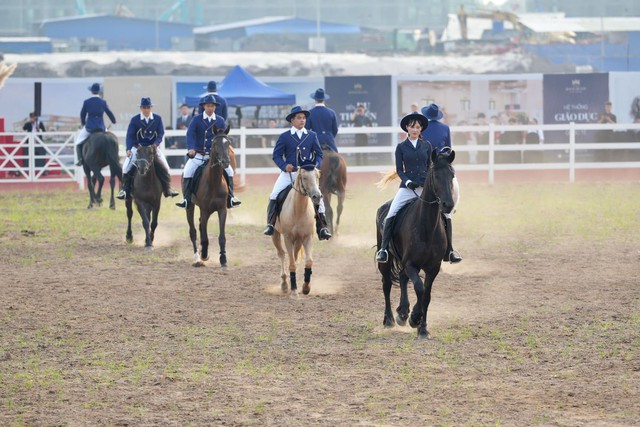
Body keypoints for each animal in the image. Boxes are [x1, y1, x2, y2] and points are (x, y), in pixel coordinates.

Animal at [185, 126, 230, 268]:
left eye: (228, 143)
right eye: (215, 144)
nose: (226, 162)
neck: (214, 182)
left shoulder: (222, 210)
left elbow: (222, 237)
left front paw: (223, 259)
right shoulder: (204, 210)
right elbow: (204, 237)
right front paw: (204, 255)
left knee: (199, 226)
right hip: (190, 207)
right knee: (193, 231)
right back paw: (197, 257)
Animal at [272, 167, 322, 298]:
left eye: (317, 176)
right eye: (304, 177)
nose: (317, 196)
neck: (299, 210)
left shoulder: (307, 237)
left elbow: (308, 262)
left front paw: (305, 287)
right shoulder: (288, 238)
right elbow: (291, 264)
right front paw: (294, 291)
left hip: (298, 240)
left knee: (294, 256)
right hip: (275, 235)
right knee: (282, 254)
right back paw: (285, 284)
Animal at [376, 150, 456, 342]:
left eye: (452, 175)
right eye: (435, 175)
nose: (448, 205)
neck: (426, 226)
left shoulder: (433, 267)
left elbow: (426, 295)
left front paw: (422, 328)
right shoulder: (411, 264)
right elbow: (419, 288)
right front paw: (415, 318)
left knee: (403, 278)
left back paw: (402, 313)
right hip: (386, 261)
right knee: (387, 284)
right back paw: (389, 319)